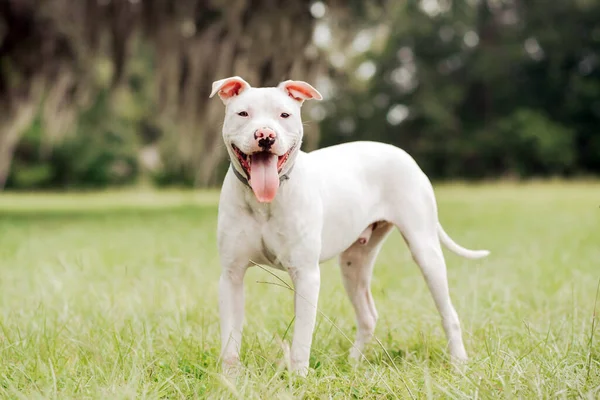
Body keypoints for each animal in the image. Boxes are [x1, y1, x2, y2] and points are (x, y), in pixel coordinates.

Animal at [209, 76, 490, 376]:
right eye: (243, 113)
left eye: (284, 115)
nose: (265, 135)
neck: (263, 201)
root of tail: (400, 152)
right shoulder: (231, 276)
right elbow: (230, 339)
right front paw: (229, 378)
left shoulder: (305, 274)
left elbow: (301, 339)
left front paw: (298, 378)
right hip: (354, 263)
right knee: (368, 315)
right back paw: (354, 362)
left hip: (426, 252)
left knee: (449, 313)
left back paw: (459, 362)